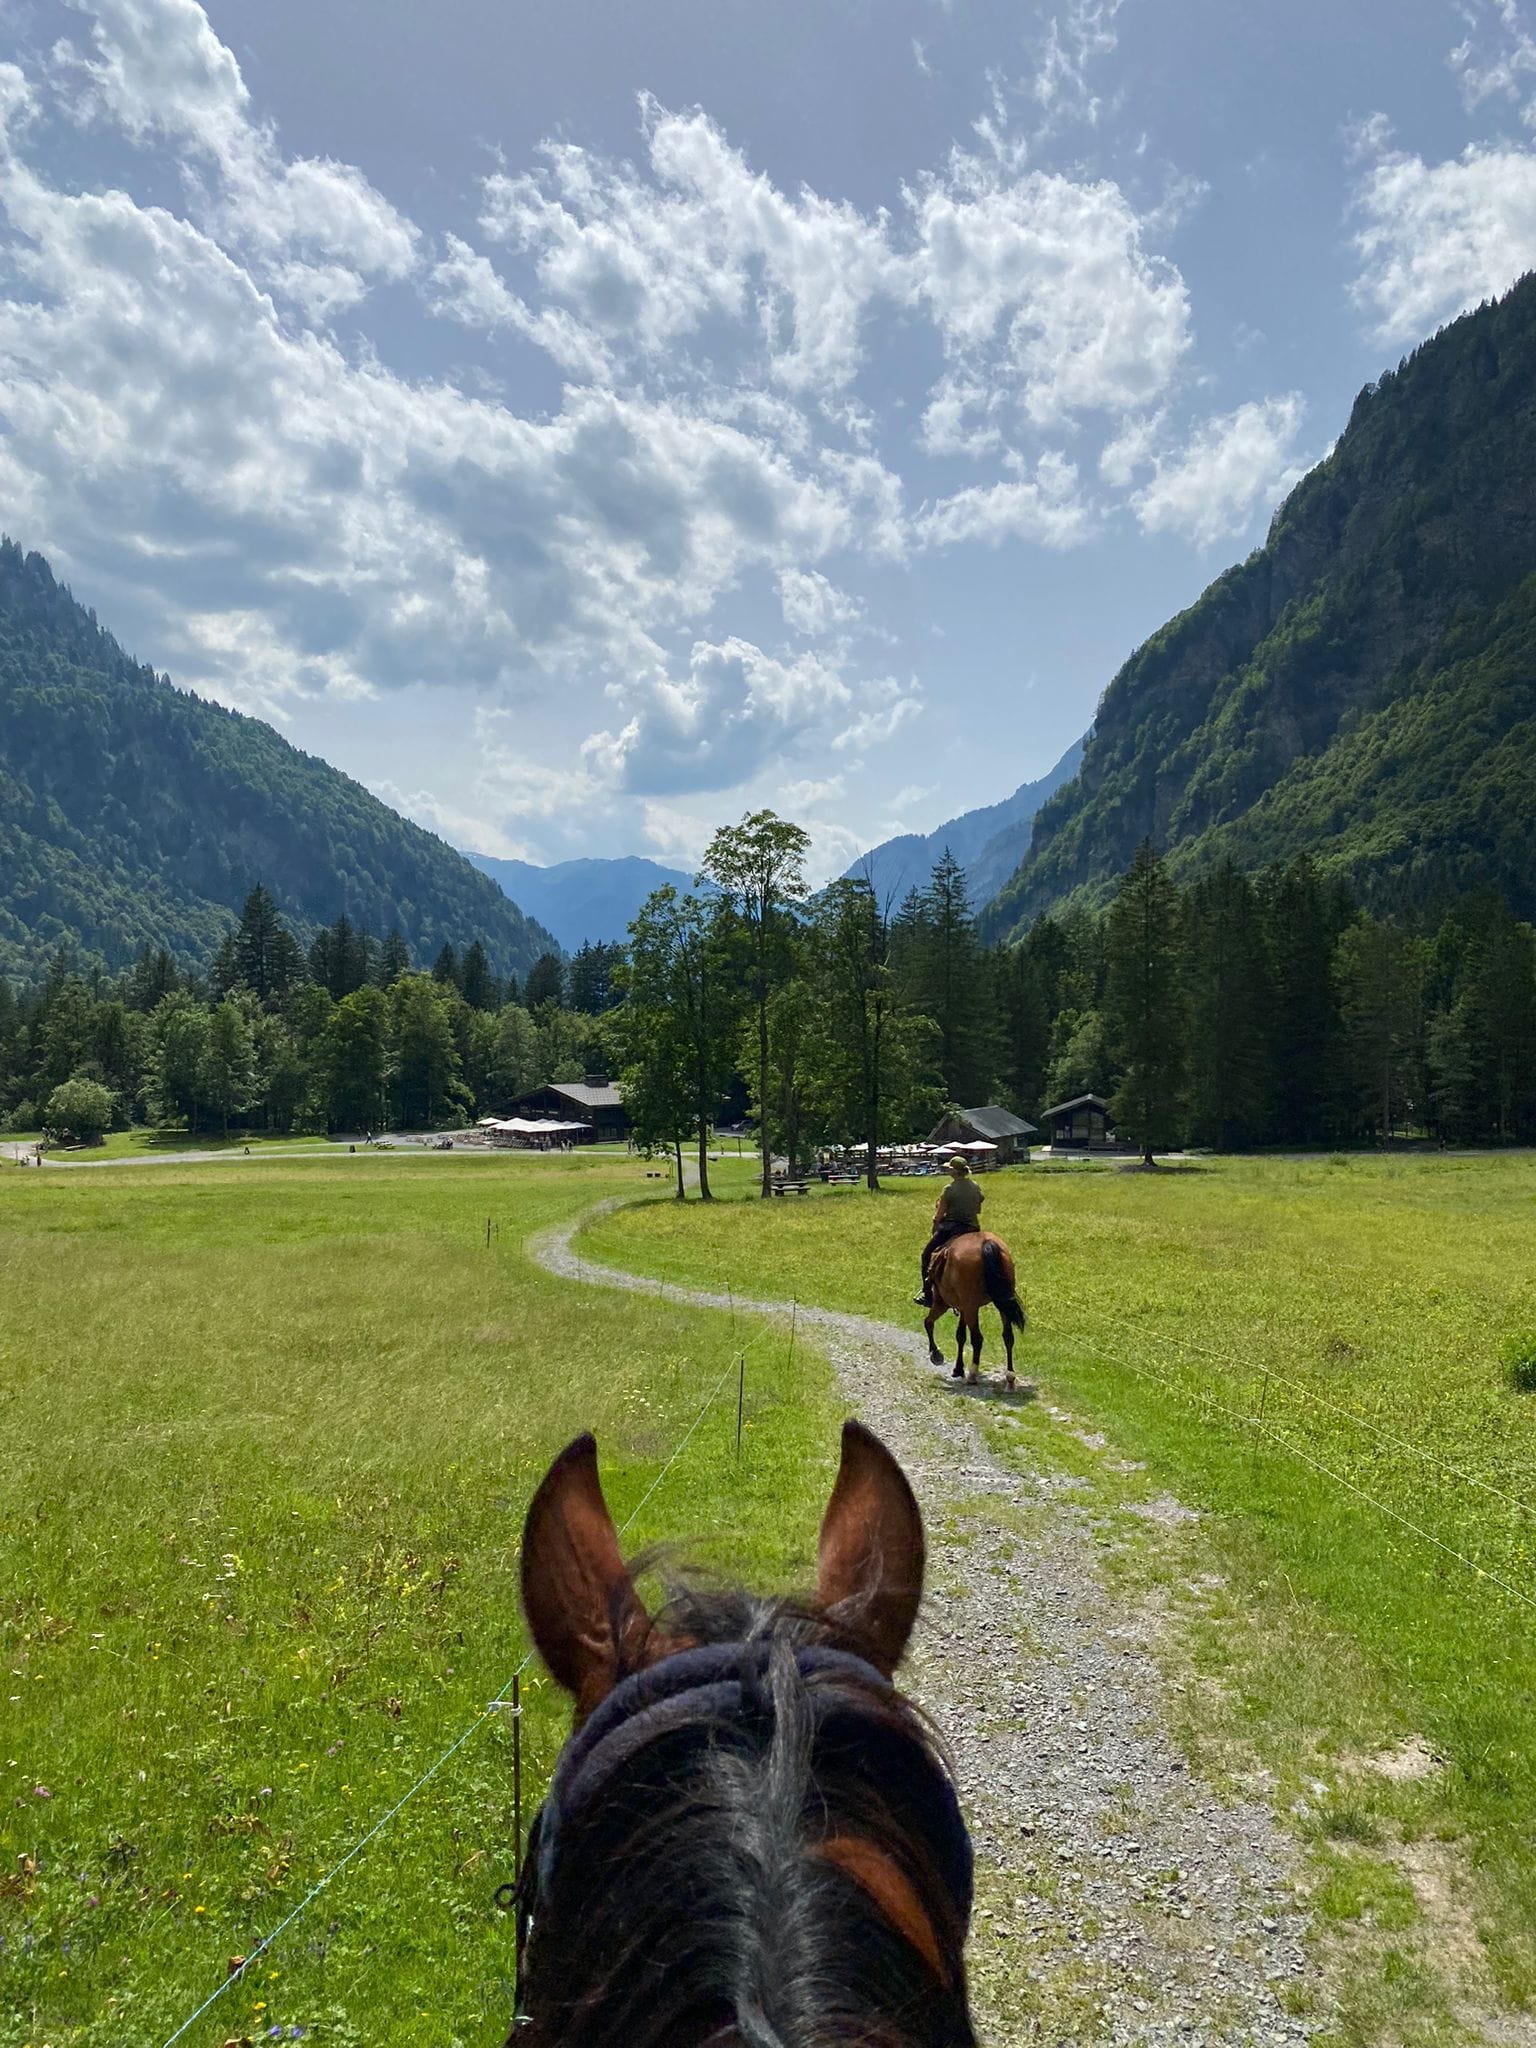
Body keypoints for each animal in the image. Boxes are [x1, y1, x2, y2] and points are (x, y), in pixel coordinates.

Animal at [924, 1232, 1026, 1389]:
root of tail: (986, 1243)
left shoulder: (942, 1303)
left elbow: (928, 1323)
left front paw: (936, 1355)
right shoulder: (963, 1308)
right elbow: (960, 1335)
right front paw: (958, 1369)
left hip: (971, 1307)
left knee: (978, 1338)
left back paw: (972, 1375)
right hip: (1002, 1303)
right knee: (1008, 1336)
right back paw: (1010, 1378)